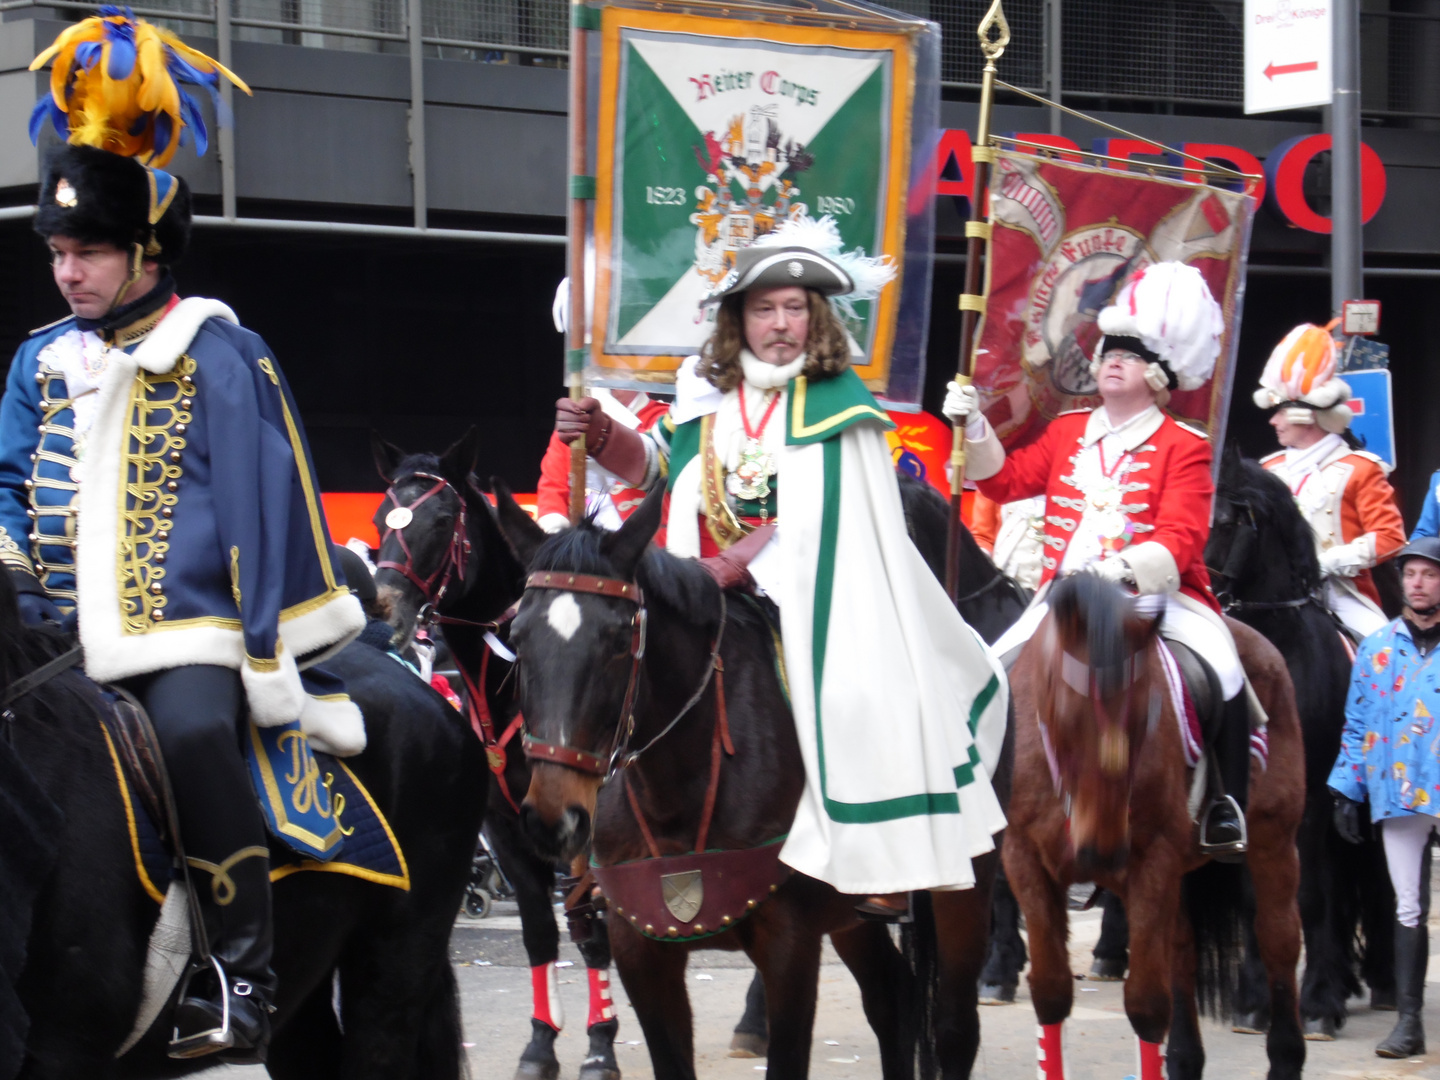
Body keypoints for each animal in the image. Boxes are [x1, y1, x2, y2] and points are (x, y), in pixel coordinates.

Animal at [489, 486, 1008, 1080]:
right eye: (517, 636)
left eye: (620, 640)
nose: (554, 820)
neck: (682, 789)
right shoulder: (640, 948)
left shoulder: (790, 946)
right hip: (855, 915)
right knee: (891, 996)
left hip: (965, 890)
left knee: (953, 1030)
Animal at [1002, 578, 1307, 1080]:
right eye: (1064, 714)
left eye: (1148, 712)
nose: (1101, 855)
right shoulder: (1024, 858)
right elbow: (1050, 992)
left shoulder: (1151, 860)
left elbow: (1146, 1004)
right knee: (1181, 950)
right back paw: (1184, 1058)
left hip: (1274, 841)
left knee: (1278, 939)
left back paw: (1285, 1057)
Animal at [1203, 449, 1393, 1042]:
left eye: (1223, 521)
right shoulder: (1244, 804)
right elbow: (1253, 898)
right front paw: (1255, 1002)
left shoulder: (1307, 802)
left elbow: (1309, 897)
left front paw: (1314, 1006)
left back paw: (1375, 982)